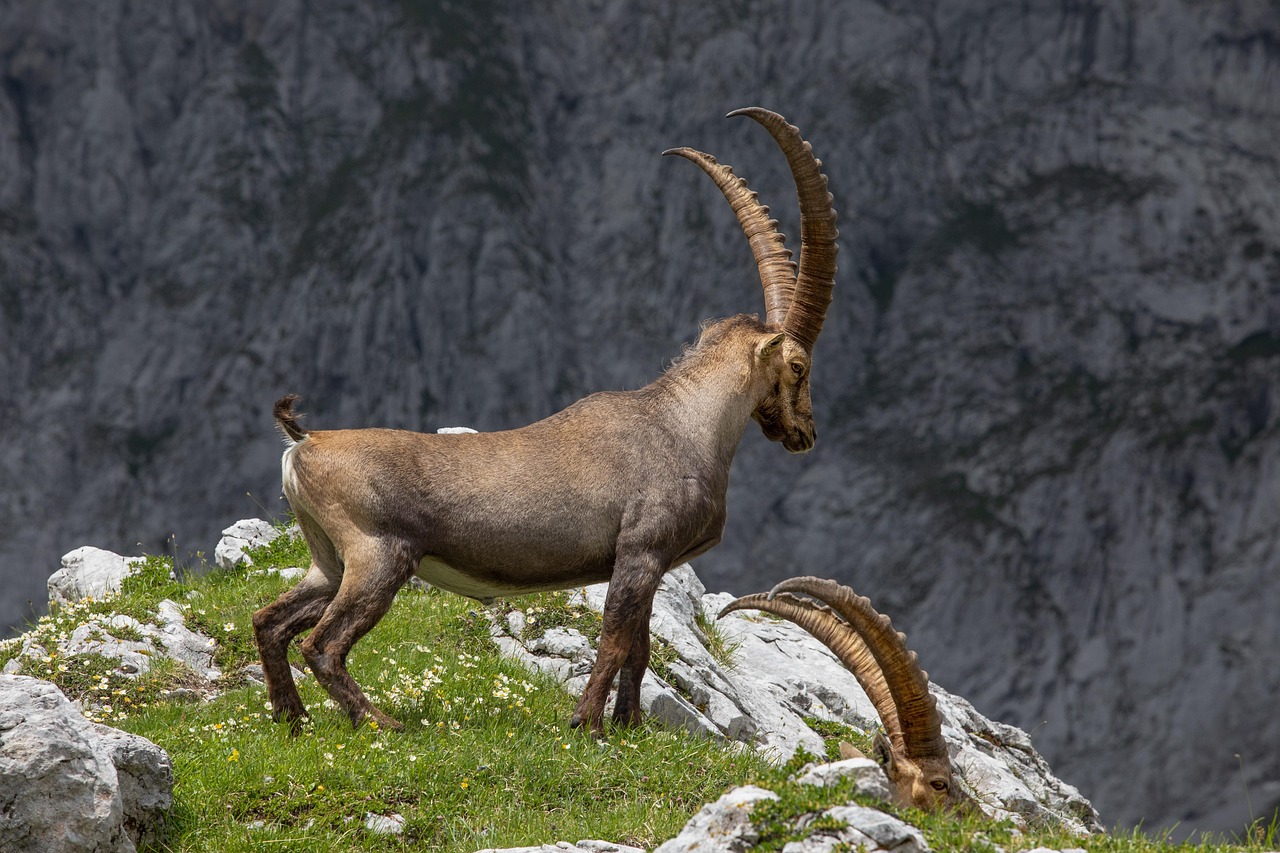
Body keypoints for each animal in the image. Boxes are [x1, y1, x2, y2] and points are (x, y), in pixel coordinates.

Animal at [252, 108, 837, 734]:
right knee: (322, 644)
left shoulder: (652, 565)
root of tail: (304, 442)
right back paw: (381, 723)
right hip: (376, 556)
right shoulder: (640, 552)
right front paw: (588, 726)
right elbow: (614, 641)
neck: (684, 424)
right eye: (798, 366)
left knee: (270, 621)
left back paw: (292, 718)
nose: (805, 434)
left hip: (328, 560)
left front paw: (628, 726)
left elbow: (640, 649)